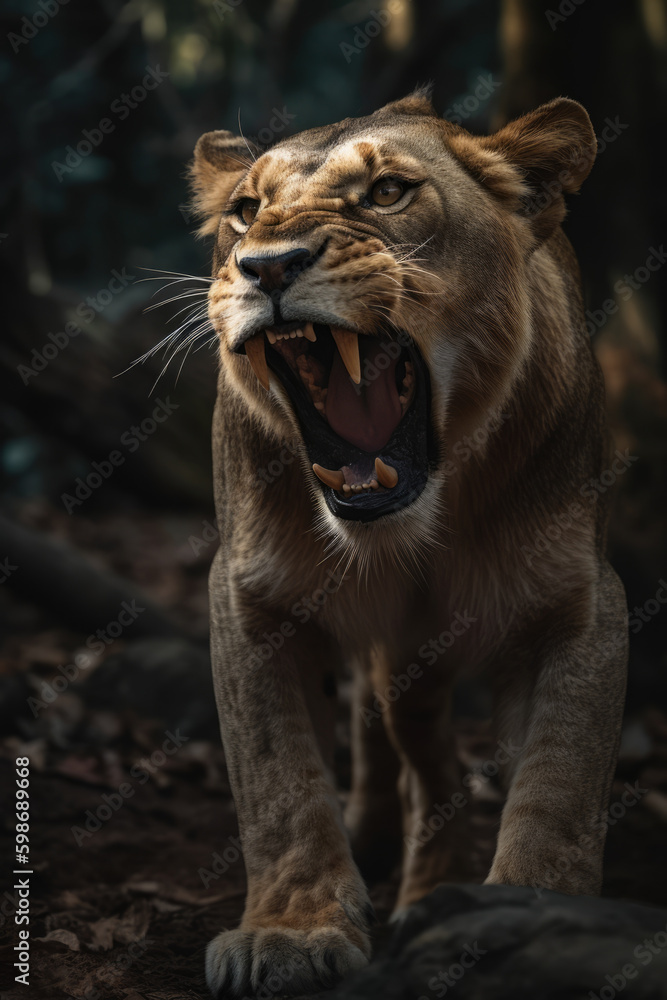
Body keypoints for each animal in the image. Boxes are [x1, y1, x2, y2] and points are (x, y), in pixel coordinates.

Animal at [188, 88, 628, 998]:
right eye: (245, 211)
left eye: (388, 193)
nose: (266, 267)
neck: (409, 533)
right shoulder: (247, 599)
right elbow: (277, 783)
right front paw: (291, 931)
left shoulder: (581, 608)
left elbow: (558, 789)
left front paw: (536, 919)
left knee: (430, 766)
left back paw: (431, 896)